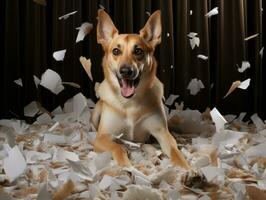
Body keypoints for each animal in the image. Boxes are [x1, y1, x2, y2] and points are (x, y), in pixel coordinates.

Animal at [91, 9, 189, 169]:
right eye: (116, 51)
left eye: (138, 51)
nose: (126, 71)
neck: (130, 103)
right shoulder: (102, 138)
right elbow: (117, 147)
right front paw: (126, 167)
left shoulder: (162, 133)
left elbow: (175, 151)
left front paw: (187, 168)